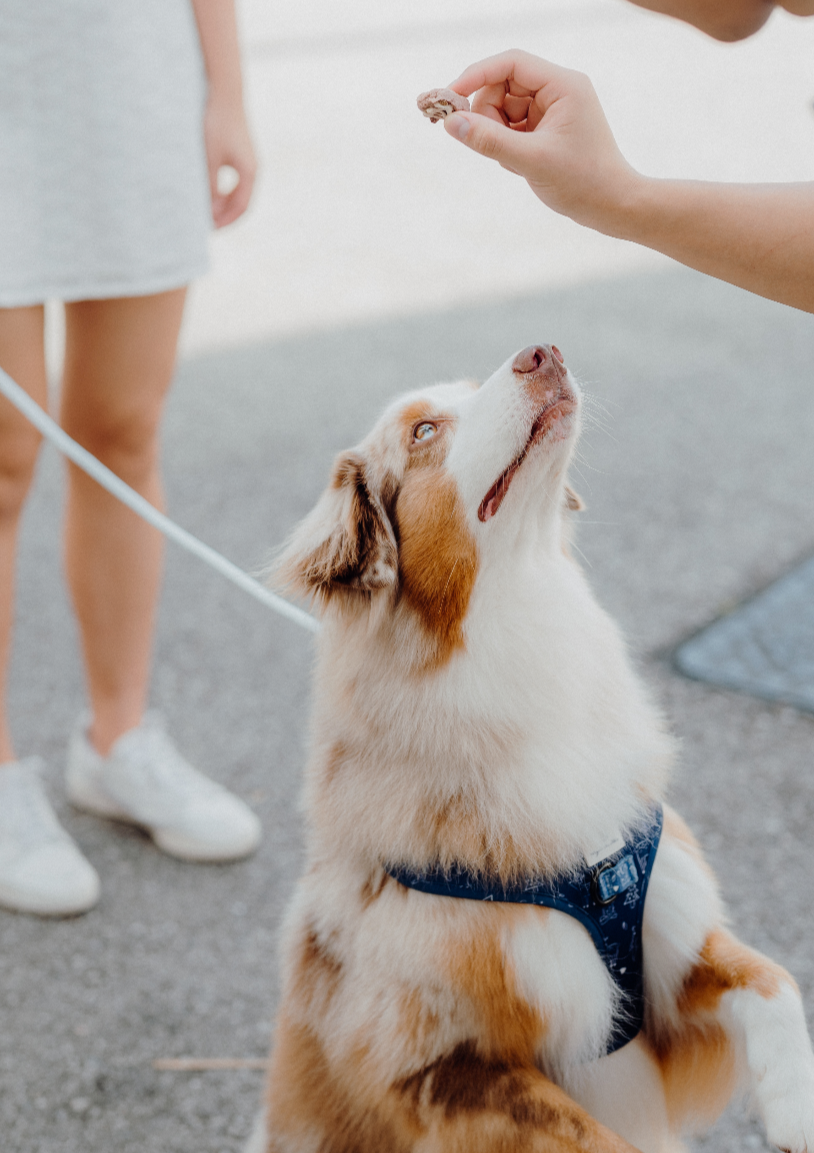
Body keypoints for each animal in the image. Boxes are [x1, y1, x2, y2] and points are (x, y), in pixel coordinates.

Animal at [253, 345, 811, 1153]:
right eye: (423, 431)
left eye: (469, 384)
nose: (541, 352)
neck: (519, 622)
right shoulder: (438, 1065)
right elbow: (597, 1141)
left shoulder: (673, 957)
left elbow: (777, 982)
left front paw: (797, 1106)